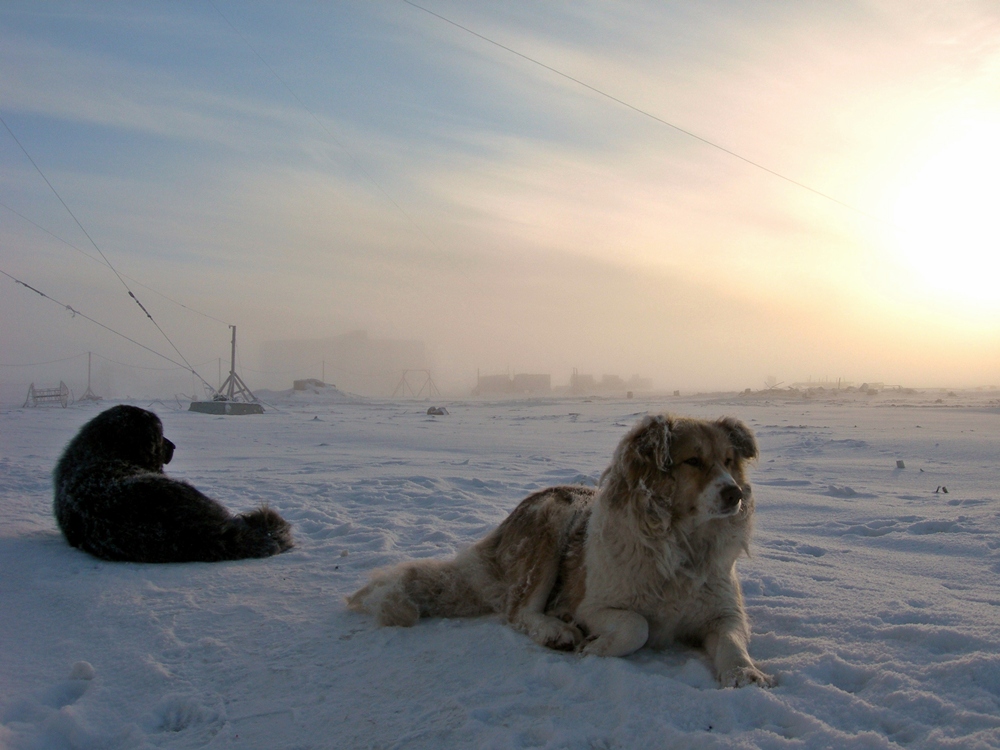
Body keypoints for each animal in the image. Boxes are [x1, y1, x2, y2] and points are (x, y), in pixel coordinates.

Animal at [346, 414, 772, 692]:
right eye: (693, 461)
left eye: (729, 461)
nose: (734, 493)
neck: (683, 545)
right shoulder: (594, 606)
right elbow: (637, 626)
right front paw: (593, 647)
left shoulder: (724, 612)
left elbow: (733, 642)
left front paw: (746, 675)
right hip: (551, 524)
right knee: (518, 612)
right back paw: (556, 631)